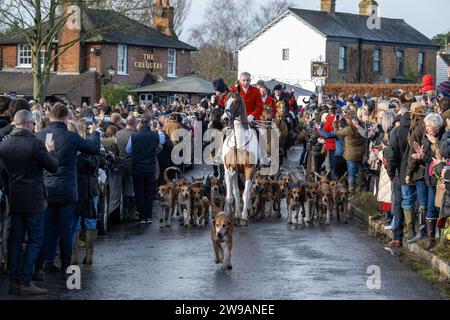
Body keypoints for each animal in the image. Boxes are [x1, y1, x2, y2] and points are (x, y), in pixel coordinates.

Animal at [220, 92, 258, 226]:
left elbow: (246, 193)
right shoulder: (230, 170)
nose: (225, 119)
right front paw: (232, 213)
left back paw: (247, 209)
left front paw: (244, 217)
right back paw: (235, 212)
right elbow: (232, 194)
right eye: (225, 101)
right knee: (235, 191)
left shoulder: (249, 169)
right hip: (233, 172)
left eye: (236, 101)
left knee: (248, 190)